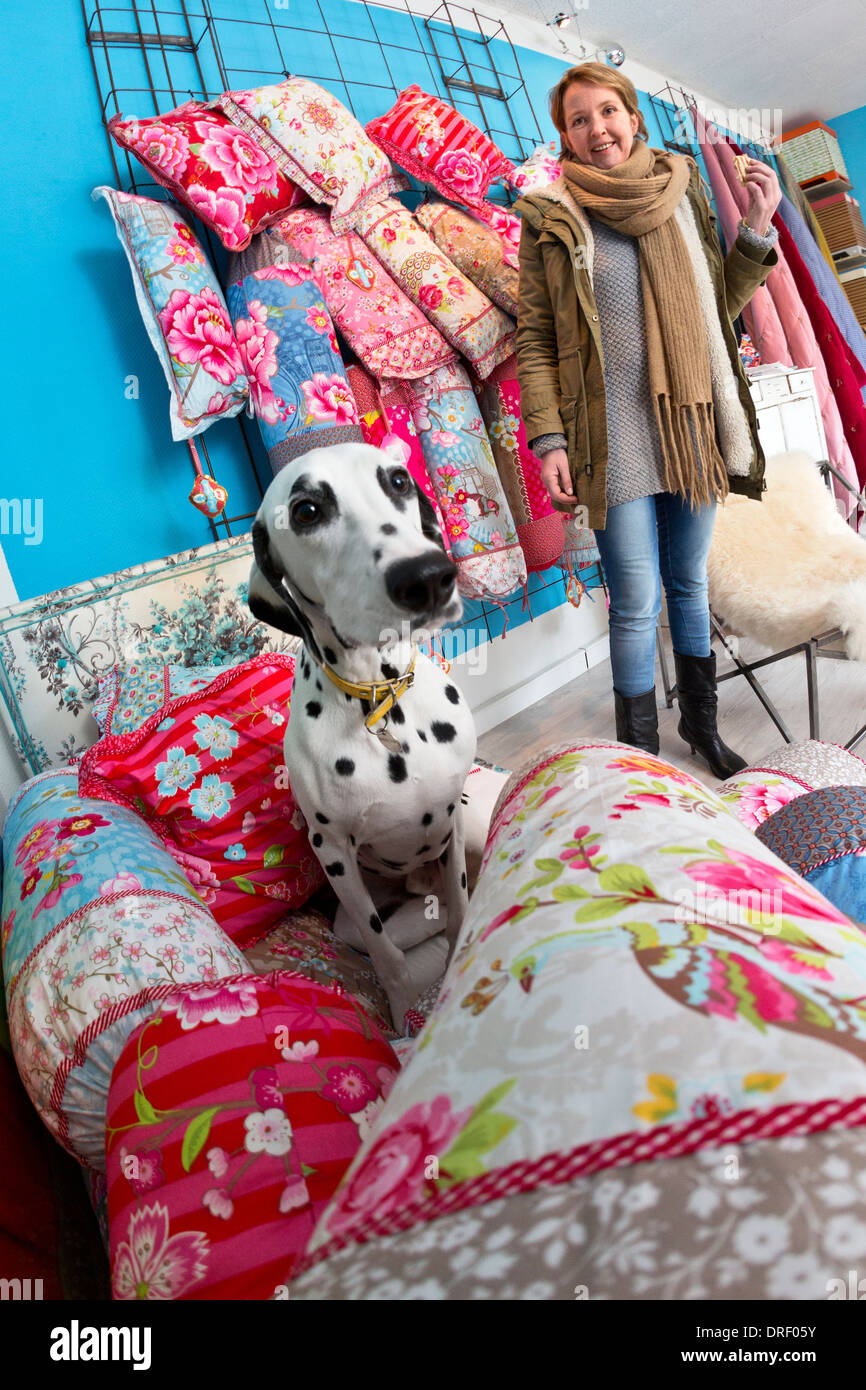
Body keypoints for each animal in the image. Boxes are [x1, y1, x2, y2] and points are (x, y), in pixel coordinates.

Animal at [248, 444, 480, 1034]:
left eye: (398, 480)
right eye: (306, 511)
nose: (427, 576)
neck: (381, 701)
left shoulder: (452, 822)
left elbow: (461, 911)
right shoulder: (333, 853)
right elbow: (387, 956)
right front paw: (403, 1017)